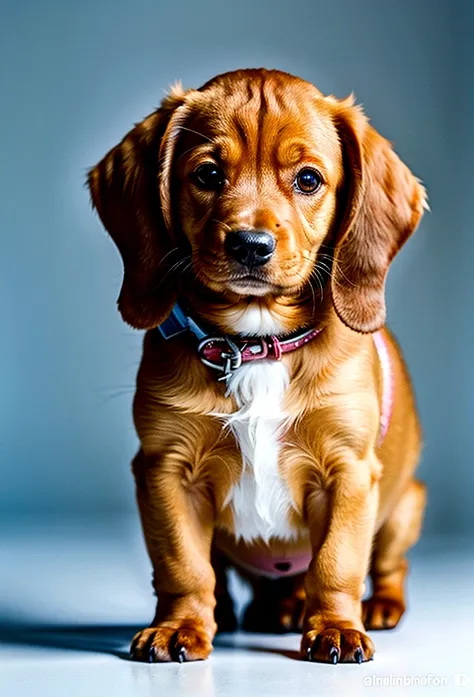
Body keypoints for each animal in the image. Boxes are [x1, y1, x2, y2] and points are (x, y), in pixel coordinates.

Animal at [88, 66, 426, 664]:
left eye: (309, 180)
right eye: (207, 174)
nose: (250, 244)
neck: (255, 343)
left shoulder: (348, 472)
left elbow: (337, 561)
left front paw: (336, 626)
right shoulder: (165, 471)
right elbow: (183, 565)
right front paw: (180, 626)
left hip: (404, 506)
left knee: (388, 564)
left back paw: (377, 607)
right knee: (231, 577)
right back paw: (255, 609)